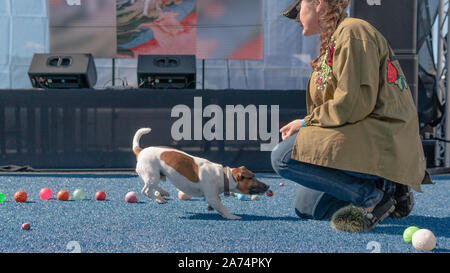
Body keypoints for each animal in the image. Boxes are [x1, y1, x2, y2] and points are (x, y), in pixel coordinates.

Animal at [132, 127, 268, 219]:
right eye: (252, 177)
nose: (268, 186)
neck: (223, 176)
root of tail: (140, 151)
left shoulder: (213, 196)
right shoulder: (212, 196)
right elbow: (222, 207)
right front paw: (231, 216)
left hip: (158, 176)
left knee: (153, 187)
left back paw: (163, 192)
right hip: (152, 175)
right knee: (145, 191)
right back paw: (159, 199)